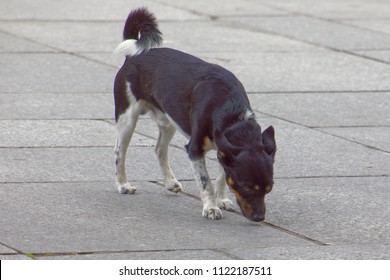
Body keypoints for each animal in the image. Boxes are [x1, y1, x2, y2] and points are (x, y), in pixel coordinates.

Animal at [114, 7, 276, 221]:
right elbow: (206, 182)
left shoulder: (224, 149)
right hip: (127, 119)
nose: (259, 218)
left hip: (168, 121)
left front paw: (222, 199)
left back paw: (169, 182)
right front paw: (211, 207)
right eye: (247, 187)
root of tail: (133, 56)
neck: (232, 113)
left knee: (159, 149)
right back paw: (123, 185)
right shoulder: (195, 150)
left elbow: (222, 176)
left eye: (269, 189)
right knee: (119, 152)